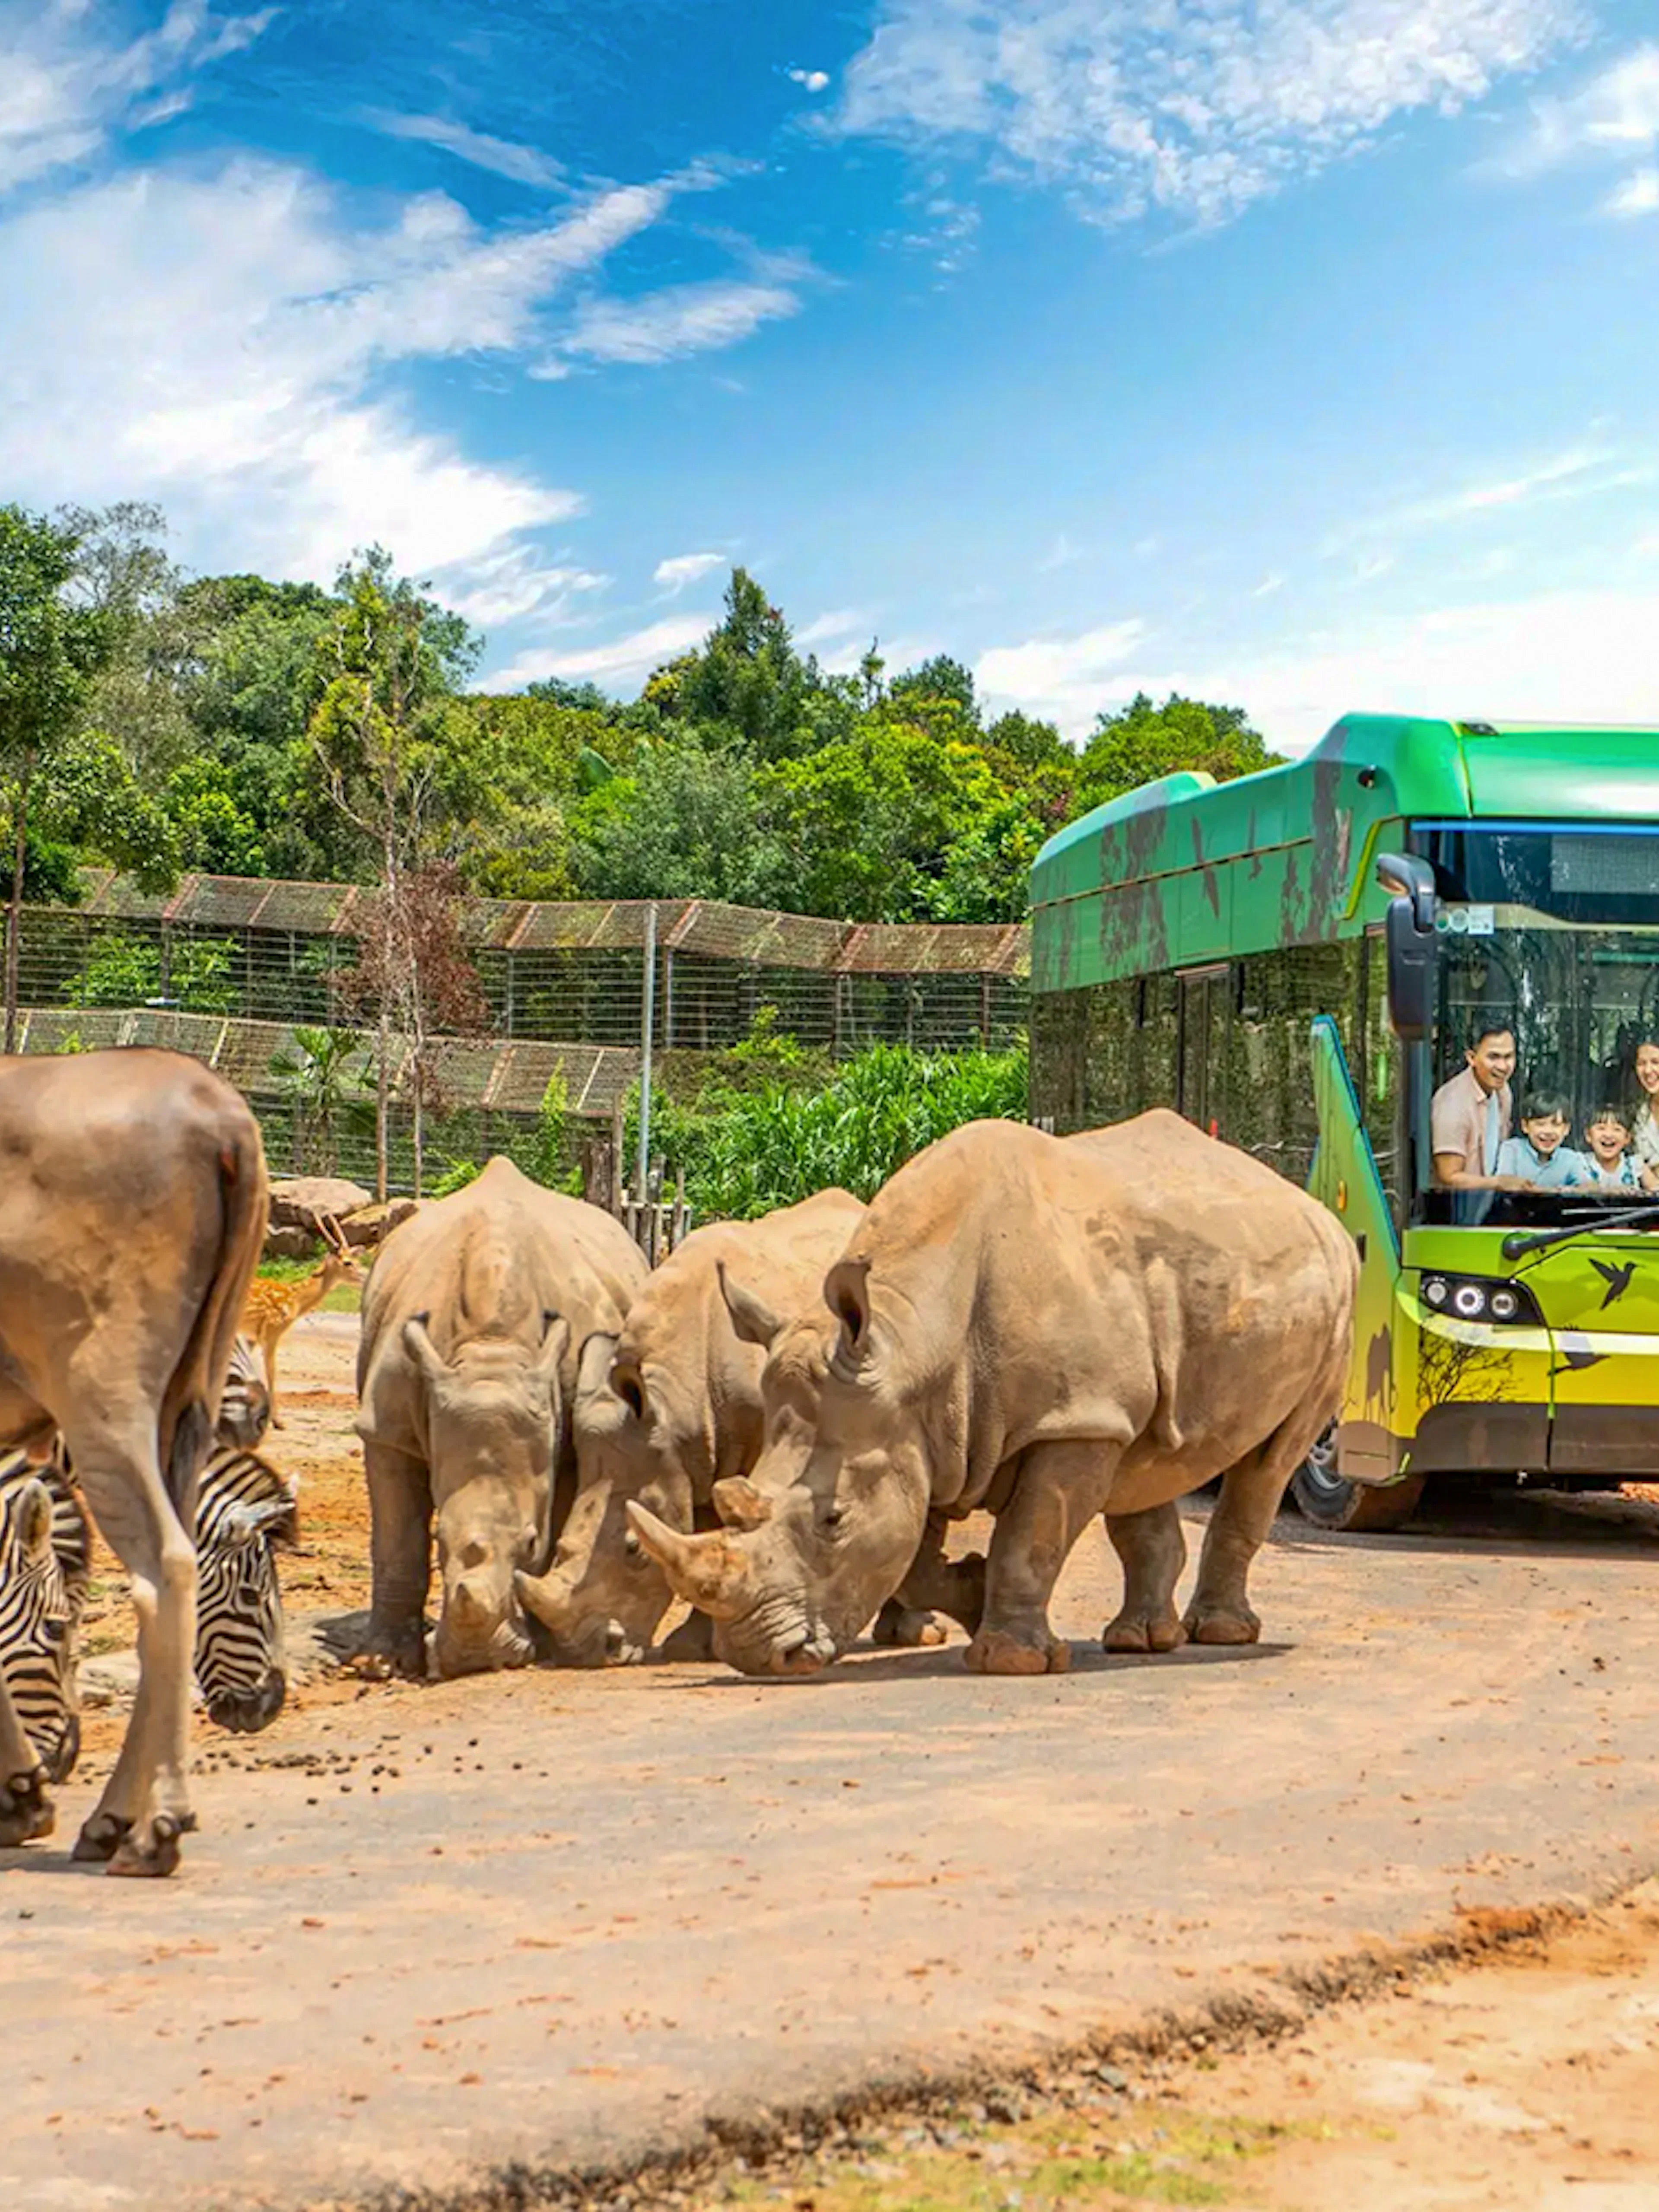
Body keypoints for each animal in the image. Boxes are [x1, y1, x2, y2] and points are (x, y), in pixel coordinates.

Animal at [356, 1157, 649, 1679]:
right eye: (439, 1539)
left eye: (530, 1544)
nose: (477, 1659)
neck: (492, 1349)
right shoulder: (385, 1427)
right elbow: (397, 1539)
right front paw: (384, 1664)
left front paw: (543, 1644)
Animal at [631, 1112, 1356, 1679]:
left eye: (833, 1520)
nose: (756, 1657)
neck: (913, 1341)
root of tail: (1309, 1201)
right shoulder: (914, 1425)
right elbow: (915, 1555)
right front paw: (974, 1592)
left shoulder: (1065, 1422)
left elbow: (1032, 1533)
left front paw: (1010, 1660)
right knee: (1148, 1457)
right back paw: (1141, 1641)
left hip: (1343, 1292)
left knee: (1272, 1460)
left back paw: (1221, 1635)